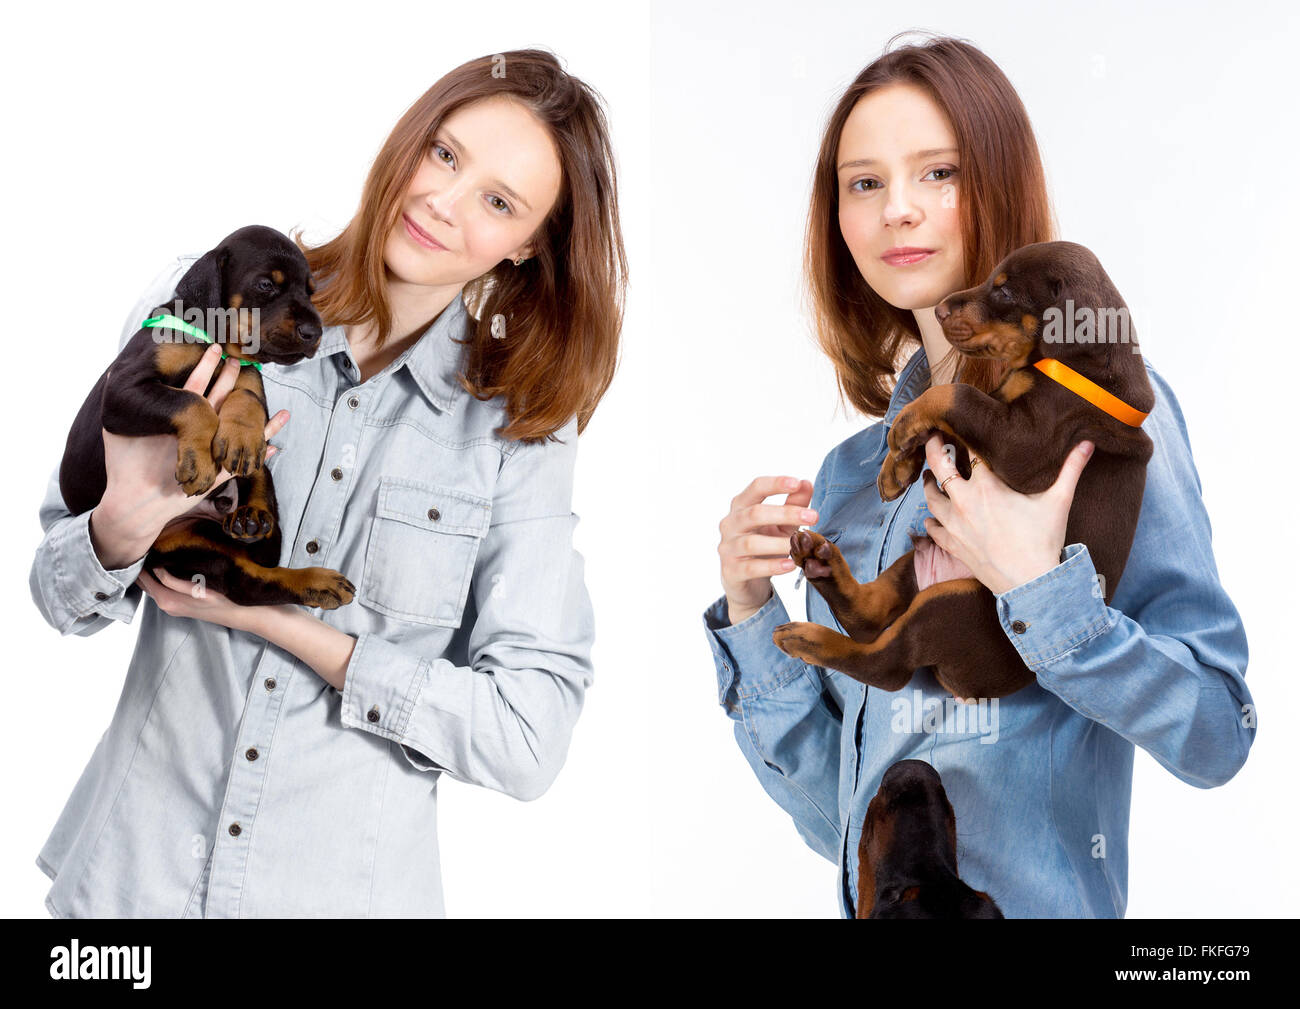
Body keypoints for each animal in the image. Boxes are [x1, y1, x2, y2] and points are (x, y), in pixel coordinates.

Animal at [61, 224, 356, 611]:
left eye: (310, 292)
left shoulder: (248, 375)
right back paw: (311, 578)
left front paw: (240, 435)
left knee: (263, 535)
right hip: (182, 547)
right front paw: (198, 462)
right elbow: (191, 402)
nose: (314, 333)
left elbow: (246, 396)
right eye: (266, 284)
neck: (215, 342)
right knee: (252, 582)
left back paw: (257, 520)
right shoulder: (121, 391)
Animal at [764, 241, 1154, 702]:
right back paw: (818, 561)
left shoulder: (1030, 445)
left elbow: (955, 393)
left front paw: (901, 429)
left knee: (887, 665)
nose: (939, 310)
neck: (1075, 367)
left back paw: (808, 638)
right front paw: (897, 467)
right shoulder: (995, 413)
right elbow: (950, 420)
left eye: (1005, 292)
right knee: (870, 616)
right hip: (917, 564)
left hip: (956, 604)